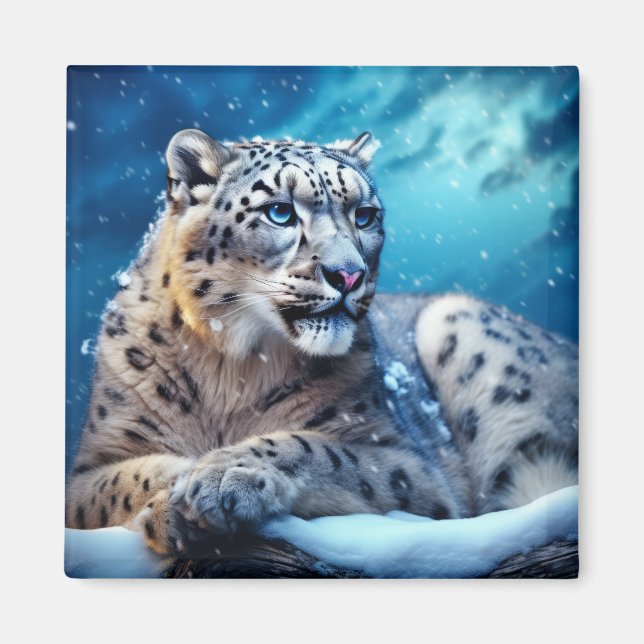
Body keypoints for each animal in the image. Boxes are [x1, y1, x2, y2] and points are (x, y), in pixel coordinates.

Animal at [66, 129, 579, 567]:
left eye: (364, 215)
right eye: (279, 211)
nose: (349, 275)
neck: (230, 370)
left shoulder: (410, 464)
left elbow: (323, 451)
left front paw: (225, 476)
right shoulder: (89, 467)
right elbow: (118, 482)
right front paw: (176, 497)